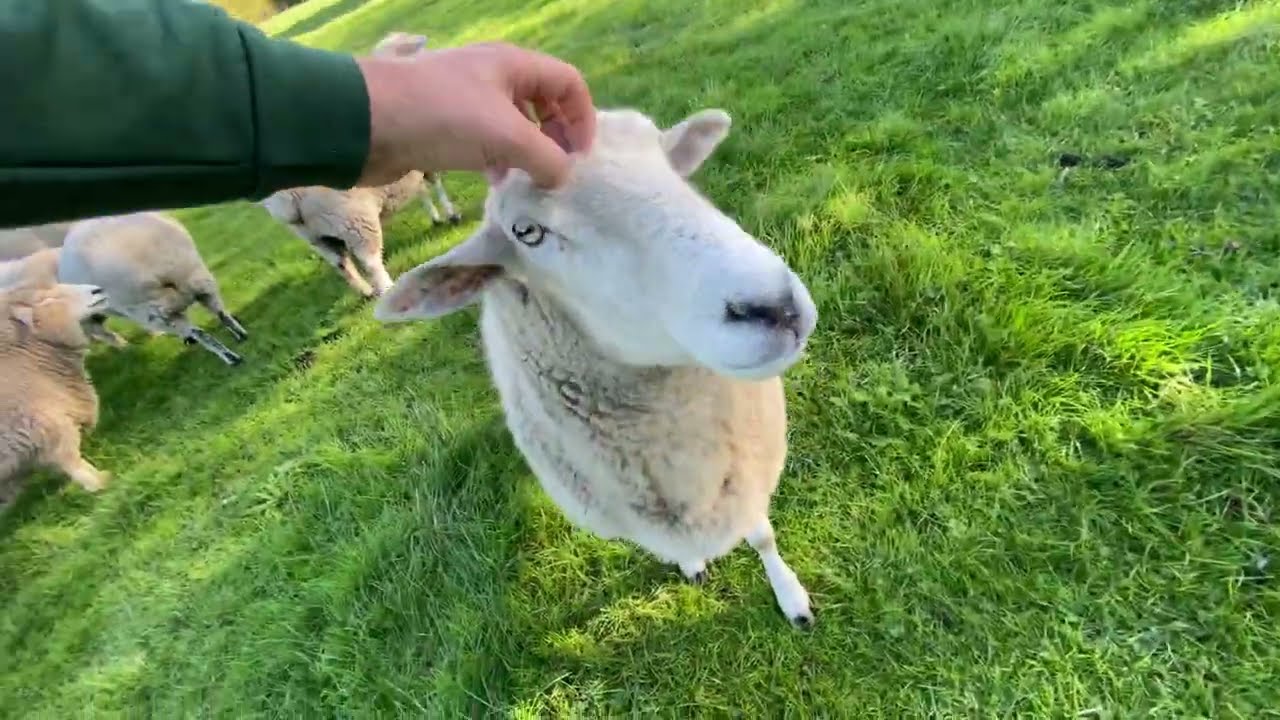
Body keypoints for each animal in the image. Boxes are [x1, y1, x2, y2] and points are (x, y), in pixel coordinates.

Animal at [58, 211, 249, 365]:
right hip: (197, 278)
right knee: (221, 313)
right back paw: (241, 336)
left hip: (152, 312)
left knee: (199, 332)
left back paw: (231, 358)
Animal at [257, 31, 462, 299]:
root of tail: (288, 198)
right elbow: (435, 185)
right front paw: (451, 214)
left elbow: (421, 189)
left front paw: (436, 217)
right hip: (355, 222)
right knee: (370, 260)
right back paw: (386, 288)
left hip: (316, 236)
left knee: (341, 265)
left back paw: (366, 292)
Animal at [373, 107, 820, 627]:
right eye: (527, 232)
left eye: (667, 163)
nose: (774, 306)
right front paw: (692, 563)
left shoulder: (750, 468)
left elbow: (761, 533)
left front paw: (790, 596)